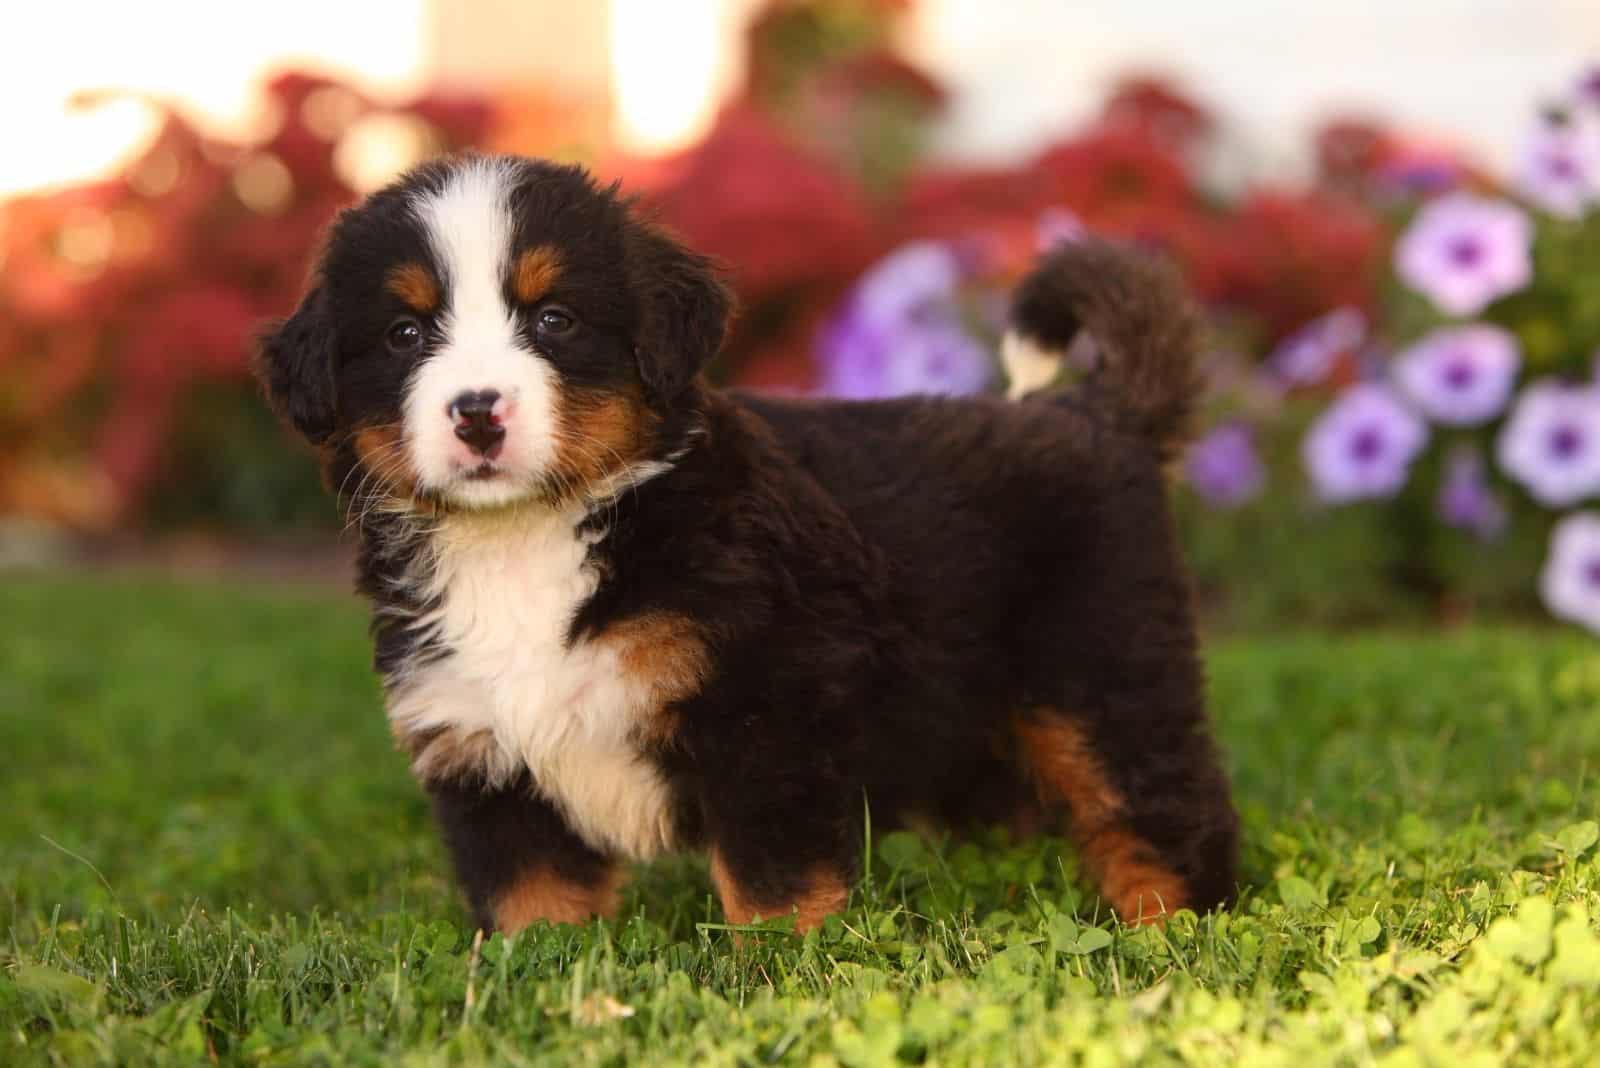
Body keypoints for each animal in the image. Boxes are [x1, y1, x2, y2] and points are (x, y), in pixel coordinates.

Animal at [256, 151, 1241, 933]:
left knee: (1163, 806)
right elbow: (533, 895)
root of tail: (1097, 413)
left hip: (1105, 671)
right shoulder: (479, 741)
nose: (475, 412)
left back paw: (1169, 929)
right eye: (405, 333)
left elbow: (772, 879)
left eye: (553, 320)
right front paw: (535, 979)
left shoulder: (766, 707)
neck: (531, 538)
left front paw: (779, 975)